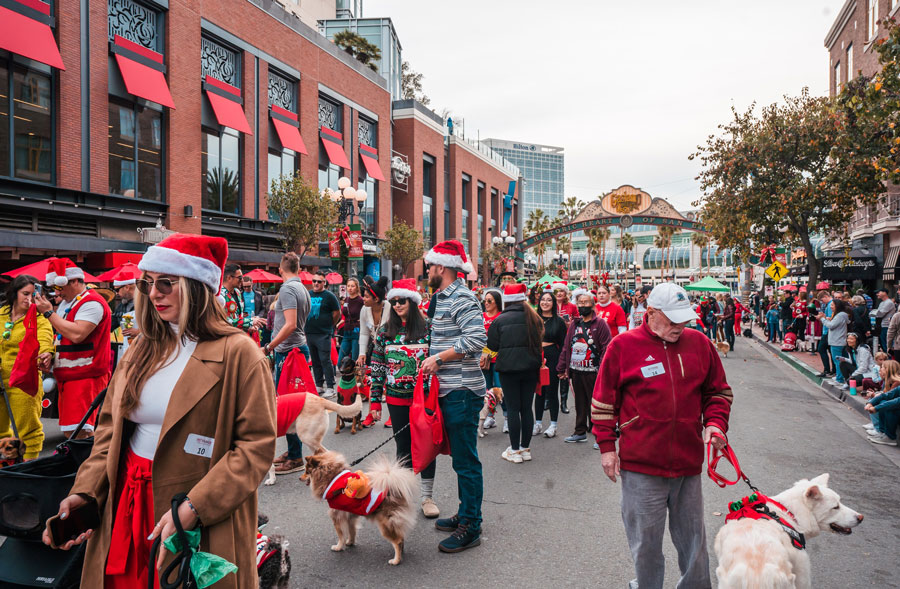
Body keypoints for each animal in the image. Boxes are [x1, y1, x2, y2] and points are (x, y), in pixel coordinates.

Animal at [712, 474, 860, 588]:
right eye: (835, 507)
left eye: (840, 503)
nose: (861, 517)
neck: (789, 512)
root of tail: (757, 576)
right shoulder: (802, 569)